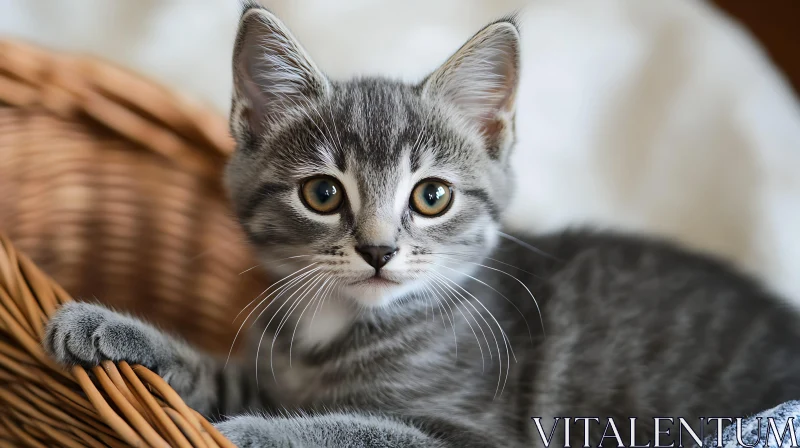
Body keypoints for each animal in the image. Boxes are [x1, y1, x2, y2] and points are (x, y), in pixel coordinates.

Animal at [42, 4, 800, 448]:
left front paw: (251, 431)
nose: (378, 249)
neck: (336, 328)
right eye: (323, 193)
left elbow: (358, 430)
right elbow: (216, 376)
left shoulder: (481, 435)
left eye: (431, 196)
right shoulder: (273, 372)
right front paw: (107, 326)